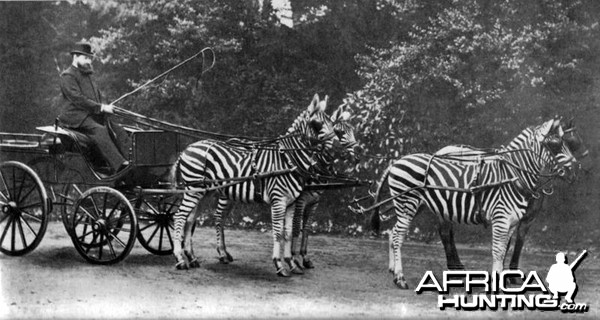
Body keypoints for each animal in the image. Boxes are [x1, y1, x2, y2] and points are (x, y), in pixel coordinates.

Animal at [172, 94, 342, 276]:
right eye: (317, 124)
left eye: (332, 123)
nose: (337, 147)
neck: (288, 160)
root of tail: (187, 148)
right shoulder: (278, 201)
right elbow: (278, 233)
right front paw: (279, 265)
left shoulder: (292, 203)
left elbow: (288, 233)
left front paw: (292, 263)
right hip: (193, 189)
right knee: (180, 217)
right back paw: (180, 259)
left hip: (204, 192)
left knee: (190, 219)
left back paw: (192, 257)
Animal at [368, 119, 580, 288]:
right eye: (555, 145)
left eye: (572, 144)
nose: (574, 172)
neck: (514, 175)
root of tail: (396, 162)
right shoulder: (502, 219)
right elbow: (498, 251)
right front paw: (498, 283)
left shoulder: (514, 222)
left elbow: (506, 249)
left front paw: (505, 279)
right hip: (407, 204)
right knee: (399, 236)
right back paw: (400, 278)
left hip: (418, 205)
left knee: (393, 232)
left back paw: (394, 270)